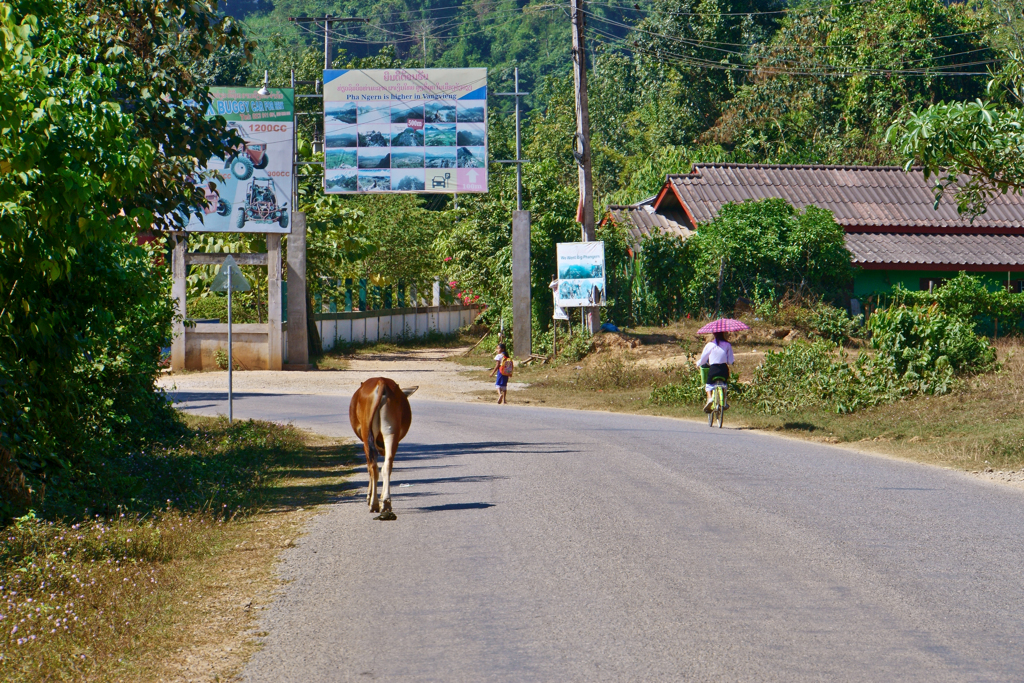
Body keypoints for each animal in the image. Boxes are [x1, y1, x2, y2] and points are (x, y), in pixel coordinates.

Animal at [352, 376, 415, 516]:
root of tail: (381, 382)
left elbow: (368, 468)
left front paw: (369, 496)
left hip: (368, 435)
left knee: (373, 467)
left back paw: (374, 503)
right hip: (391, 434)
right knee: (387, 465)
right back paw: (385, 503)